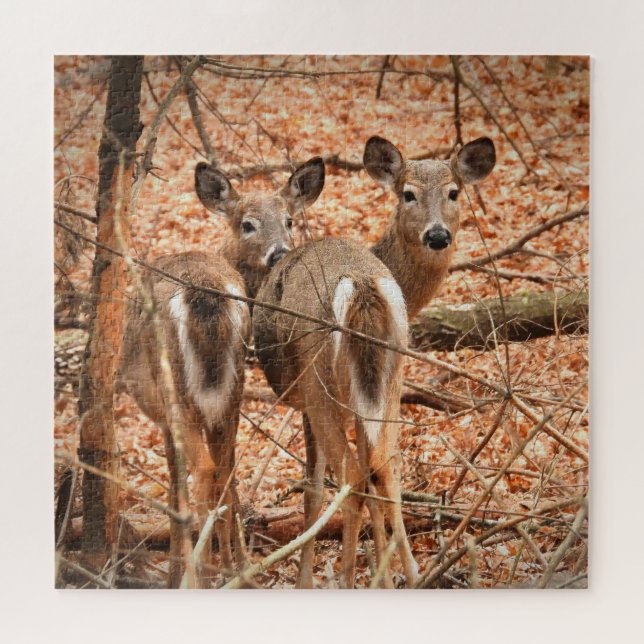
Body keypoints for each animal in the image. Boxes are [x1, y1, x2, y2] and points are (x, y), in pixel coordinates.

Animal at [119, 157, 325, 587]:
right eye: (247, 223)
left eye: (289, 220)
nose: (279, 253)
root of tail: (206, 293)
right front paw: (232, 563)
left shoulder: (165, 417)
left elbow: (175, 481)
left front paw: (180, 569)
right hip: (232, 386)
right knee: (226, 467)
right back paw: (238, 568)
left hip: (176, 389)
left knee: (204, 468)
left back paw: (196, 573)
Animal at [252, 135, 495, 589]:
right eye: (408, 193)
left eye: (454, 192)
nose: (438, 235)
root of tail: (361, 285)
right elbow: (374, 473)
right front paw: (390, 568)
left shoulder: (310, 401)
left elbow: (314, 488)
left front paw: (310, 578)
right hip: (391, 373)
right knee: (384, 468)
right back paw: (408, 574)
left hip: (321, 384)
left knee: (351, 476)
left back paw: (350, 578)